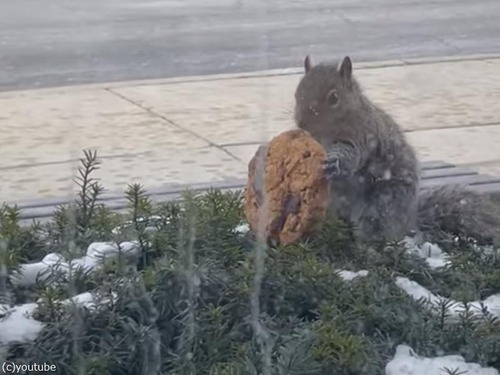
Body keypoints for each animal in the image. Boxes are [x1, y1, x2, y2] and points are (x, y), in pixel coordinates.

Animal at [292, 54, 500, 245]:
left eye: (334, 98)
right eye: (296, 93)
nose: (302, 124)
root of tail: (410, 221)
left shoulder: (363, 136)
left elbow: (349, 156)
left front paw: (334, 163)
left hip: (383, 204)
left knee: (375, 231)